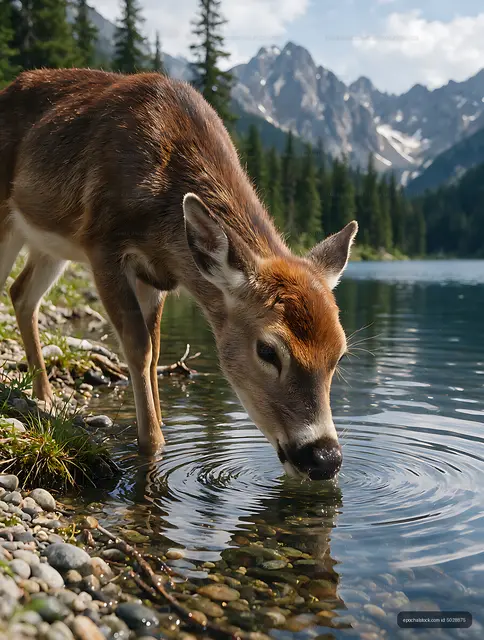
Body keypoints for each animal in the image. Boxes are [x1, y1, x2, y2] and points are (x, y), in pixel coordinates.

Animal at [0, 68, 357, 481]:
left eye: (340, 355)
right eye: (268, 350)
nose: (324, 457)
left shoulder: (155, 277)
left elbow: (155, 351)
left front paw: (158, 430)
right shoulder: (102, 243)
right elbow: (138, 347)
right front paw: (152, 445)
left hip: (49, 242)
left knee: (21, 293)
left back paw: (44, 396)